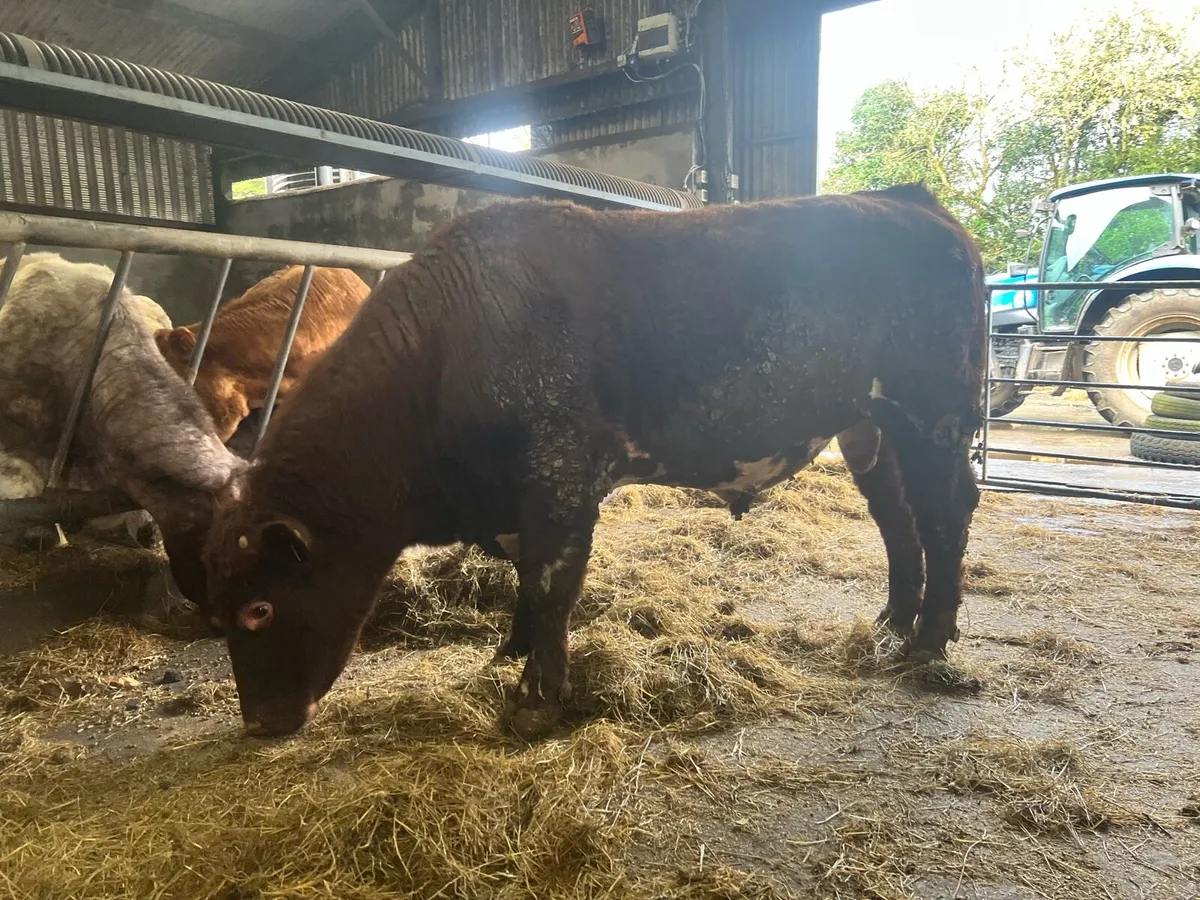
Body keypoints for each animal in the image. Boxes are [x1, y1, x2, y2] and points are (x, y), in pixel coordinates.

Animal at [204, 185, 987, 742]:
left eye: (259, 607)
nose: (259, 722)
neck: (444, 353)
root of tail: (915, 203)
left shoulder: (559, 480)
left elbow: (552, 584)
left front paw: (534, 703)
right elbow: (526, 584)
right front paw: (510, 653)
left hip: (932, 415)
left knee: (946, 513)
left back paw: (928, 641)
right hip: (870, 428)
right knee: (898, 518)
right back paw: (893, 620)